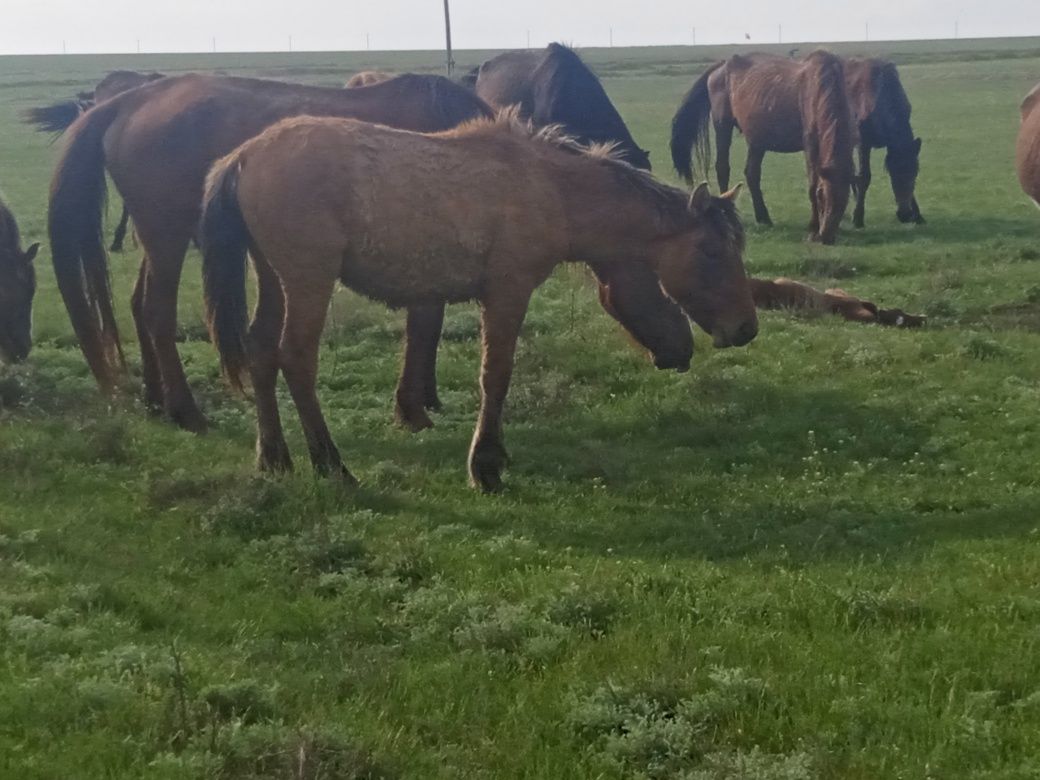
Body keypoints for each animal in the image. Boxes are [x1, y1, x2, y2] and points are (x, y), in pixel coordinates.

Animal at [198, 112, 761, 490]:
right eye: (711, 252)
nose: (746, 328)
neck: (551, 188)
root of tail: (244, 156)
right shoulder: (507, 291)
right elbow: (496, 374)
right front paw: (485, 465)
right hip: (308, 281)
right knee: (295, 358)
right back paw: (332, 466)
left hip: (274, 279)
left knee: (260, 350)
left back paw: (274, 457)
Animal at [669, 49, 856, 244]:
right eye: (821, 196)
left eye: (845, 200)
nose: (826, 237)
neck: (822, 86)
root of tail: (721, 66)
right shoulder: (810, 145)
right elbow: (812, 184)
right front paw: (813, 227)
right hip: (723, 125)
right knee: (722, 167)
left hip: (757, 140)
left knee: (751, 173)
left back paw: (763, 216)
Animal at [844, 57, 927, 228]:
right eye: (893, 172)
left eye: (915, 173)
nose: (905, 214)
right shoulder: (863, 142)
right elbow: (864, 176)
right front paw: (858, 217)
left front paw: (918, 214)